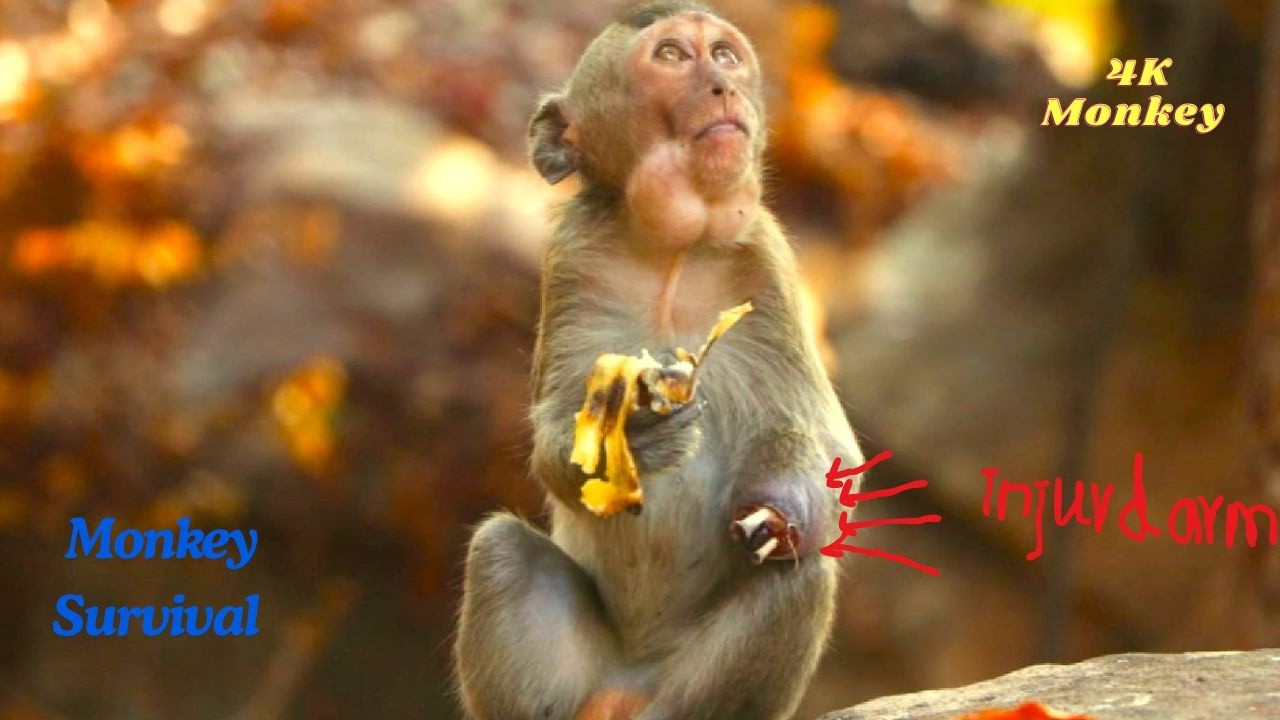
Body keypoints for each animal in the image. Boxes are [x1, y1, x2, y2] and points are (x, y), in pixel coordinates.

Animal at [453, 2, 863, 719]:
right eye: (672, 56)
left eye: (724, 56)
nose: (722, 87)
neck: (675, 252)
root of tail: (627, 683)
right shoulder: (572, 265)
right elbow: (557, 441)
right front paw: (637, 436)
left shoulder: (770, 270)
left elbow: (832, 454)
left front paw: (777, 510)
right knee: (500, 551)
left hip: (681, 683)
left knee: (800, 576)